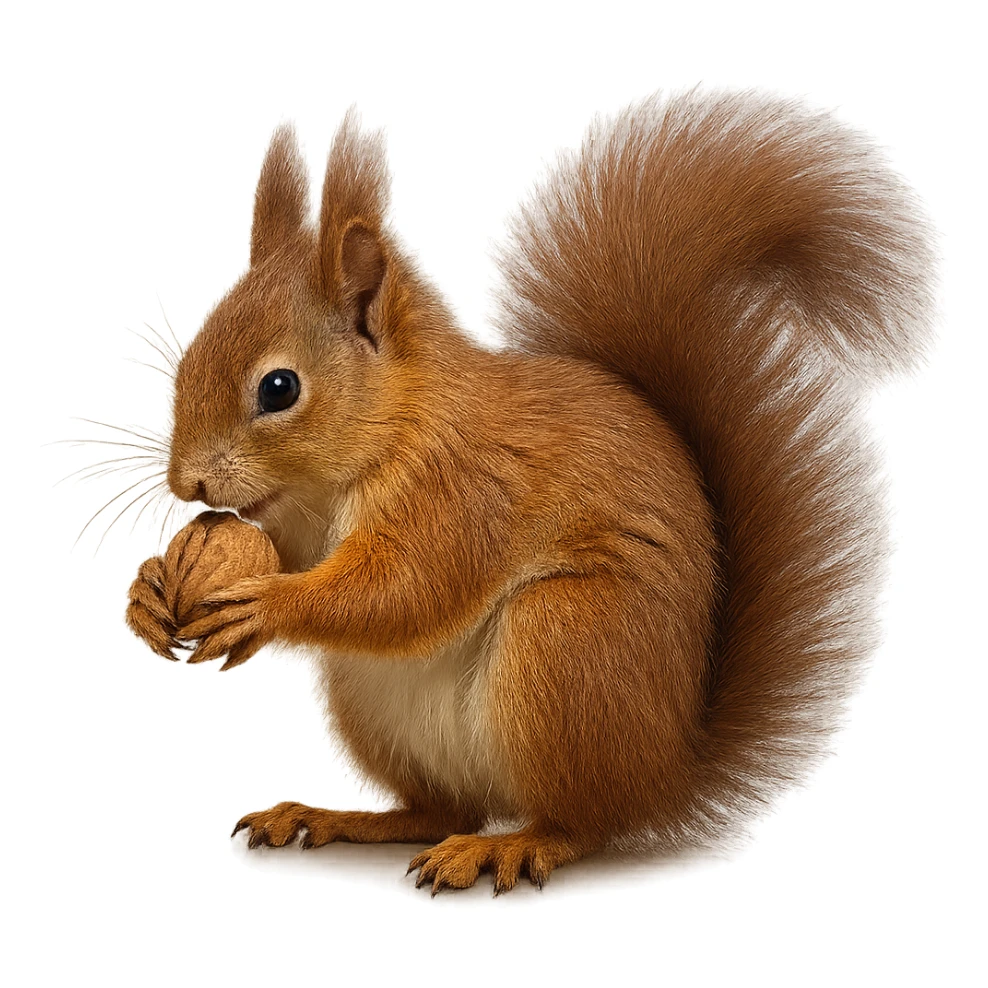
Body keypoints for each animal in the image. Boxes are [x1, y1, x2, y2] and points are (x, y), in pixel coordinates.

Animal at [135, 90, 934, 893]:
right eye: (187, 360)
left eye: (279, 388)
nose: (187, 481)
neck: (386, 435)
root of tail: (669, 769)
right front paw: (149, 588)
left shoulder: (463, 492)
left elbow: (403, 590)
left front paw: (267, 604)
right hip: (378, 704)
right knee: (440, 809)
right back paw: (335, 817)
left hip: (564, 641)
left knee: (578, 822)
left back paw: (510, 845)